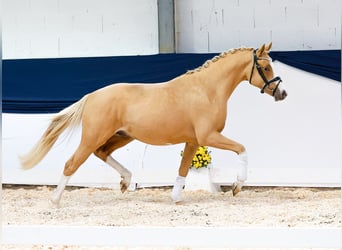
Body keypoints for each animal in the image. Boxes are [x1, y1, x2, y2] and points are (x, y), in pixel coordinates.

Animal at [20, 42, 286, 204]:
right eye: (264, 67)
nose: (281, 94)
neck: (206, 90)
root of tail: (91, 96)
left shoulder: (193, 141)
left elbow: (182, 170)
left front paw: (176, 198)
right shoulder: (208, 136)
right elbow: (242, 149)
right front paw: (236, 187)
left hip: (122, 136)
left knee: (102, 152)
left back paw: (126, 181)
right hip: (94, 136)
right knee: (72, 163)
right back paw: (55, 201)